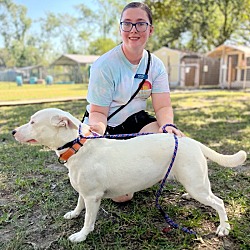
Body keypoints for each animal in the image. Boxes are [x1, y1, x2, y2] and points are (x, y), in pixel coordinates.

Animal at [12, 108, 246, 242]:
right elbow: (79, 204)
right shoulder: (83, 192)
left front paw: (81, 235)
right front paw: (74, 214)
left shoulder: (93, 197)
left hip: (198, 186)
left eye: (32, 122)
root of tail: (189, 140)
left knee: (219, 202)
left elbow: (88, 219)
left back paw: (224, 227)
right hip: (193, 181)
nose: (12, 132)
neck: (78, 146)